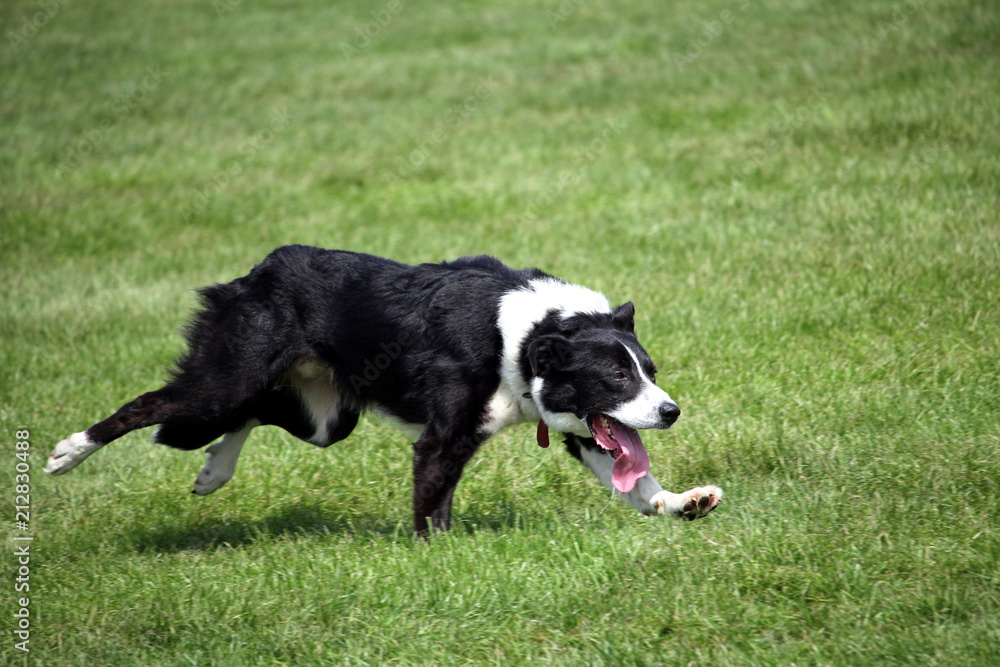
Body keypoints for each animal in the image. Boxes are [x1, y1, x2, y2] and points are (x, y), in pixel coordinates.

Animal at [45, 245, 720, 532]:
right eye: (615, 376)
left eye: (650, 370)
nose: (671, 411)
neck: (531, 335)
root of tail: (259, 270)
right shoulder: (444, 438)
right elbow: (432, 500)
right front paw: (438, 555)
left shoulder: (568, 421)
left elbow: (634, 483)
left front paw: (682, 503)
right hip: (226, 380)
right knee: (154, 406)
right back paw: (66, 453)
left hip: (325, 418)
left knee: (257, 411)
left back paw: (215, 471)